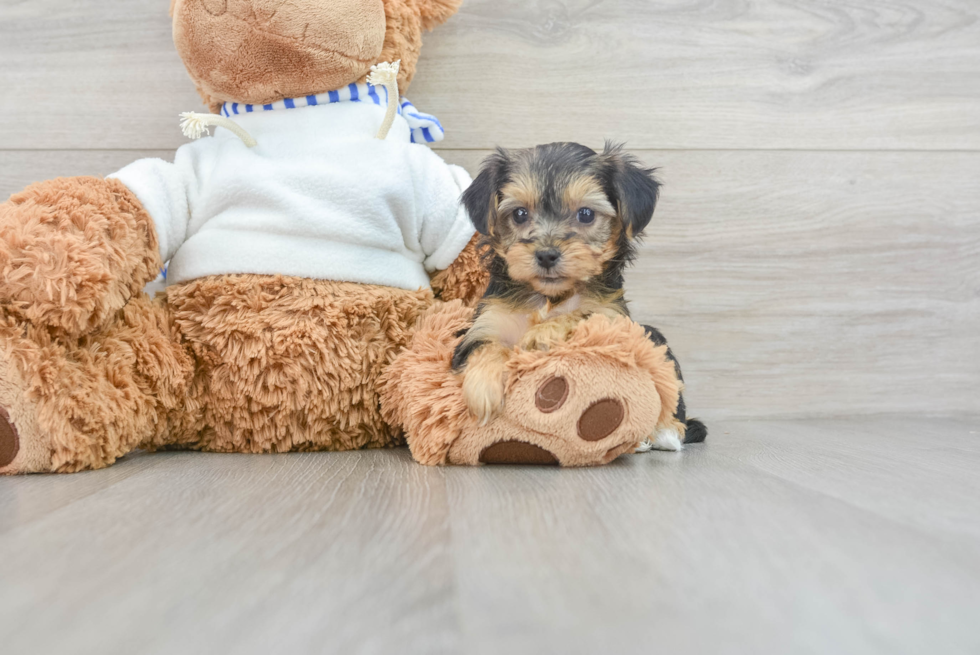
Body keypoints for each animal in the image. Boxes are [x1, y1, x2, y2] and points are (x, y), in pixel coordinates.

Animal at [452, 143, 704, 452]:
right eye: (520, 214)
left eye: (585, 214)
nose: (546, 255)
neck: (549, 297)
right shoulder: (488, 320)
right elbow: (484, 345)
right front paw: (483, 388)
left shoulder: (613, 317)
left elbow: (585, 314)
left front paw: (543, 333)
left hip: (654, 340)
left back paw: (664, 432)